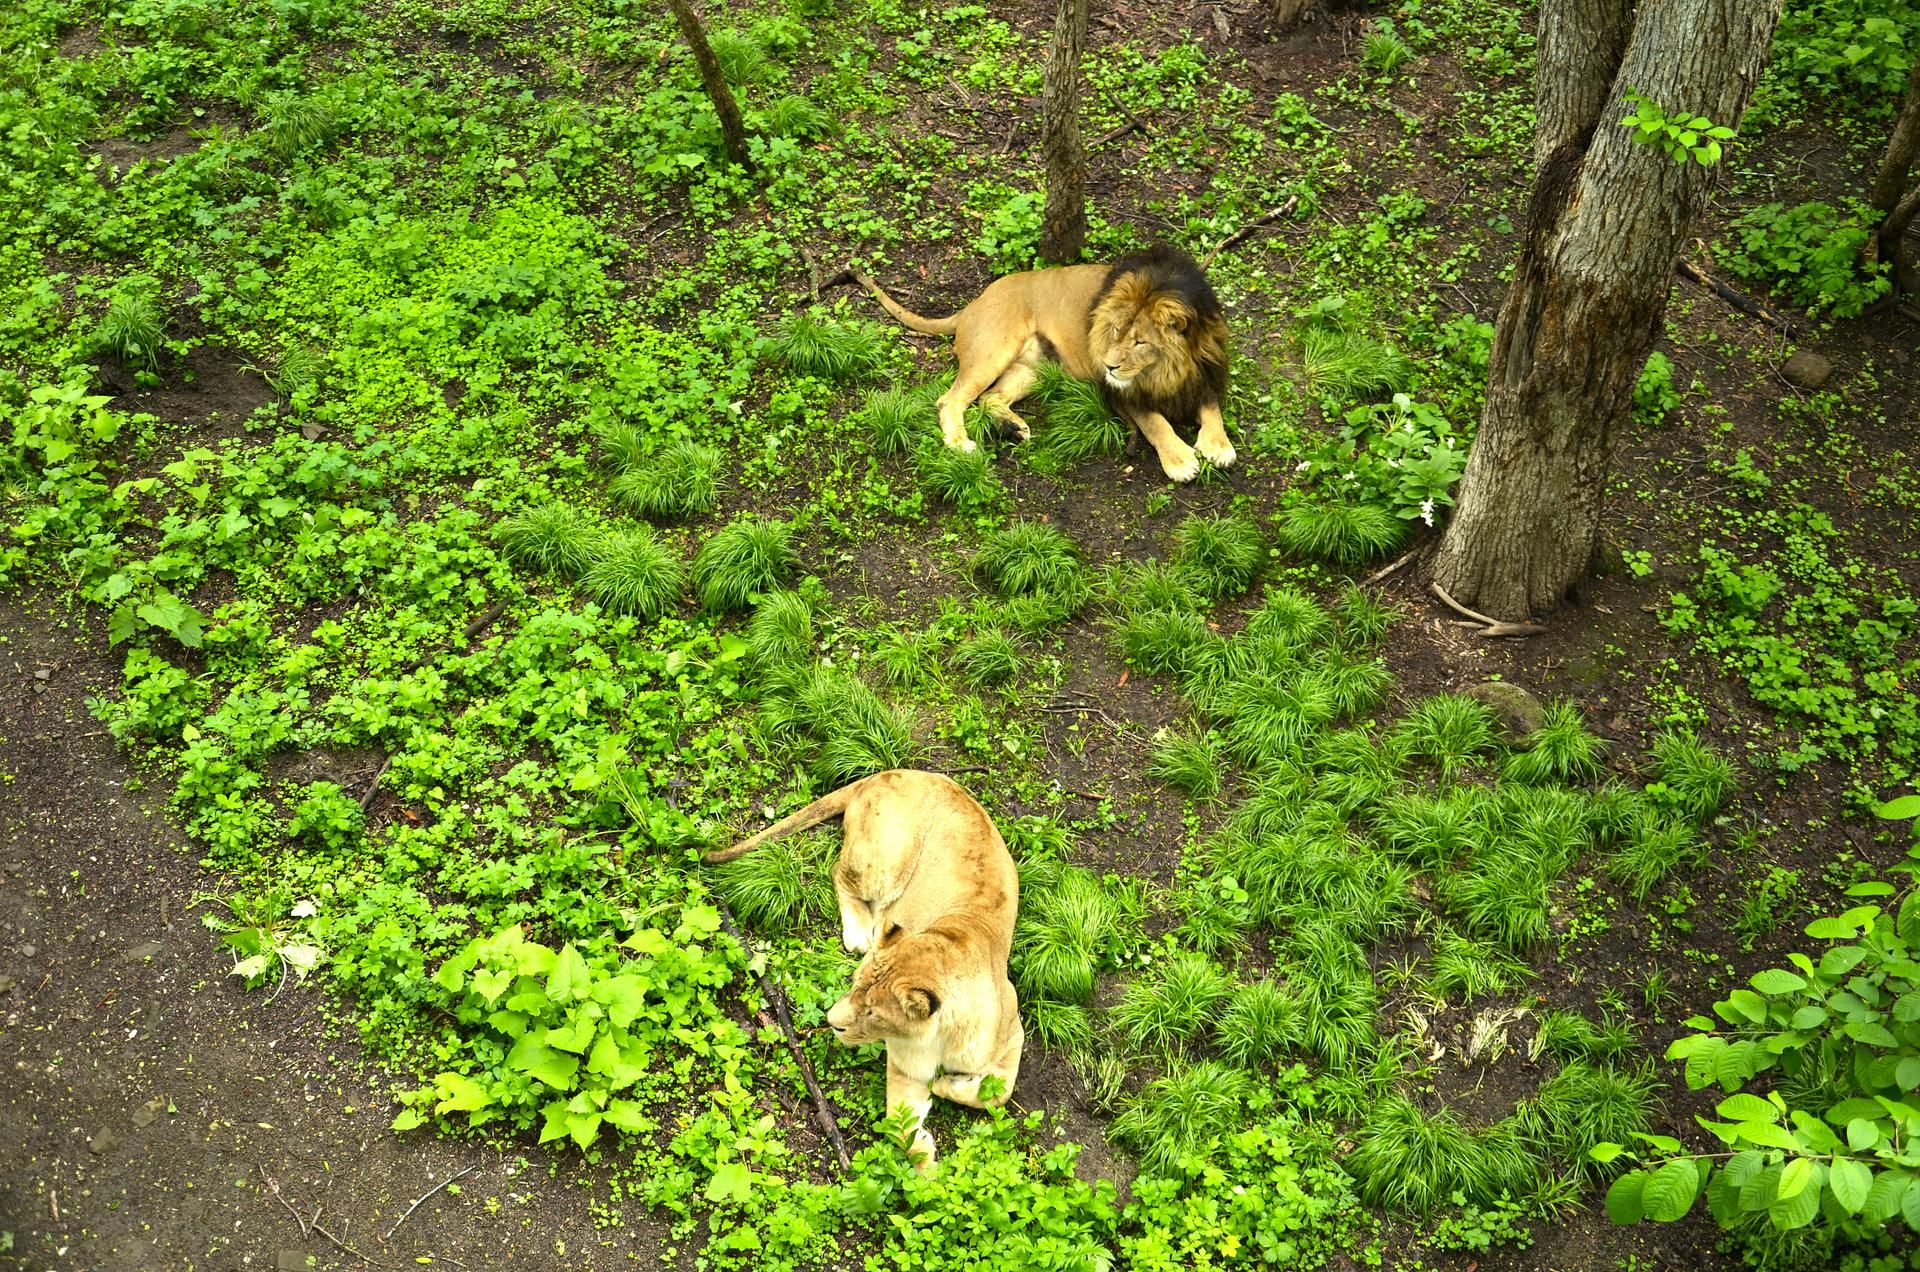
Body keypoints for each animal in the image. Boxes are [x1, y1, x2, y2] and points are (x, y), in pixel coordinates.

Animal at [710, 768, 1021, 1175]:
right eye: (853, 985)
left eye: (873, 1012)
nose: (831, 1023)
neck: (940, 1037)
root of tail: (893, 771)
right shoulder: (905, 1066)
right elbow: (899, 1125)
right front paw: (926, 1169)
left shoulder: (1014, 1032)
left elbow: (999, 1093)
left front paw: (946, 1088)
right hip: (883, 861)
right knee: (837, 873)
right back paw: (860, 933)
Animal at [848, 247, 1236, 484]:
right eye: (1114, 330)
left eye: (1140, 341)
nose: (1108, 366)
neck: (1169, 368)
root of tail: (971, 304)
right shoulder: (1121, 393)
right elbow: (1156, 423)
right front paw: (1181, 460)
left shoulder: (1206, 375)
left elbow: (1212, 409)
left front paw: (1219, 446)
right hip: (993, 350)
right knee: (951, 400)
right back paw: (960, 443)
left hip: (1036, 366)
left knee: (990, 398)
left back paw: (1015, 427)